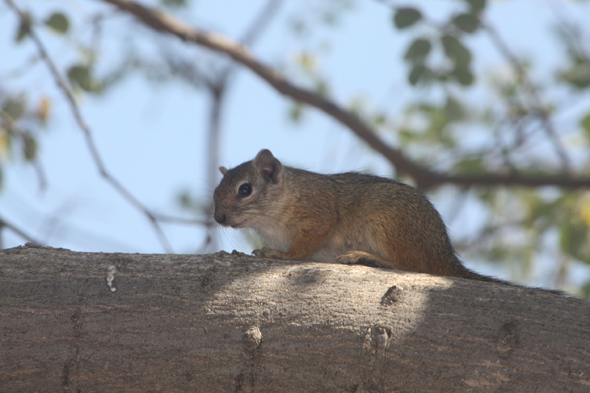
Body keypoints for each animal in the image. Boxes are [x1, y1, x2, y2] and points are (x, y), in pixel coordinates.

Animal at [213, 149, 504, 284]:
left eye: (245, 189)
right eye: (215, 192)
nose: (219, 218)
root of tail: (443, 254)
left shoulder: (318, 212)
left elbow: (303, 247)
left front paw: (280, 254)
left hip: (388, 223)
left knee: (412, 265)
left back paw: (365, 257)